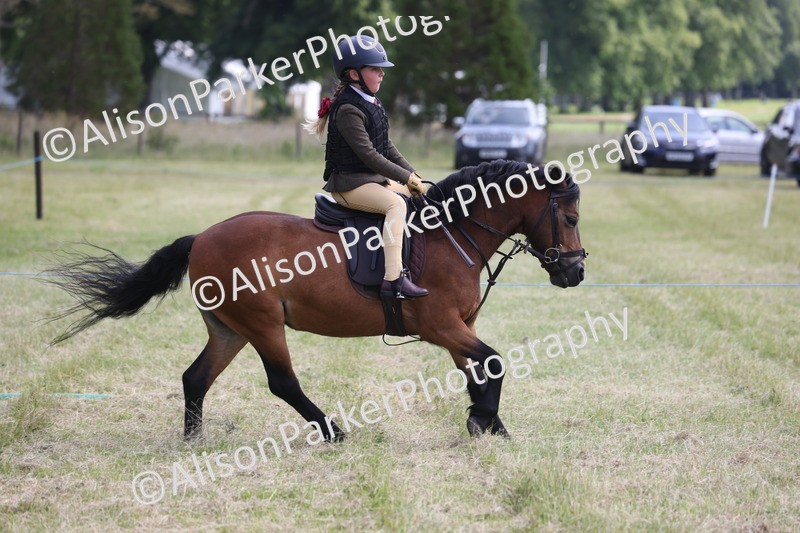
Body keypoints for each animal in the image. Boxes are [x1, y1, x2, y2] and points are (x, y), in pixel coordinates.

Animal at [46, 160, 586, 441]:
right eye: (571, 218)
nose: (576, 272)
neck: (450, 233)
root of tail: (201, 237)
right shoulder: (439, 326)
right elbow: (492, 362)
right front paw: (482, 422)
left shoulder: (460, 327)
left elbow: (480, 369)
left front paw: (490, 425)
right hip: (262, 324)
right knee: (282, 382)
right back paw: (334, 431)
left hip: (229, 328)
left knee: (196, 377)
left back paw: (193, 440)